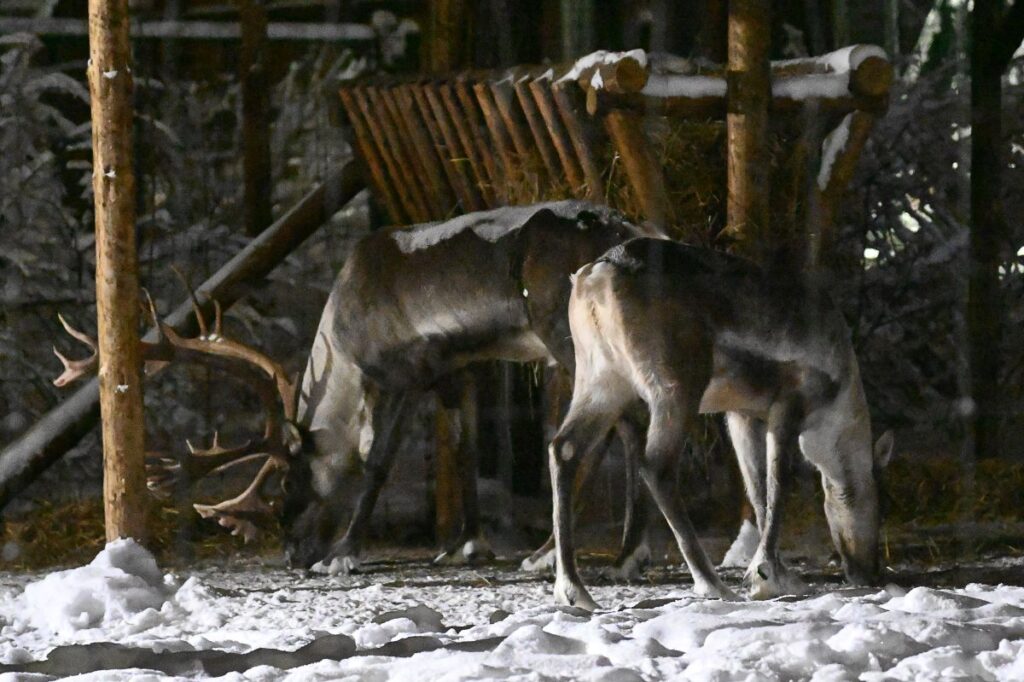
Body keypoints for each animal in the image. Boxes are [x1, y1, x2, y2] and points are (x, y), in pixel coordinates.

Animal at [53, 201, 659, 575]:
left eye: (286, 482)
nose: (293, 555)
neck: (342, 340)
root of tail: (627, 234)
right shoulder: (459, 370)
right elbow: (462, 452)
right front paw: (464, 545)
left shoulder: (403, 370)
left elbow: (376, 462)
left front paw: (343, 552)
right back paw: (606, 553)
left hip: (566, 336)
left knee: (616, 425)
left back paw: (585, 553)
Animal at [547, 237, 893, 610]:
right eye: (879, 502)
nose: (871, 572)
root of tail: (597, 274)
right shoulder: (788, 405)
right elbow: (779, 485)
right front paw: (767, 575)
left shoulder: (741, 413)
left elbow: (758, 488)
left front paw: (773, 572)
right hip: (676, 385)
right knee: (656, 464)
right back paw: (712, 583)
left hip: (601, 379)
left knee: (564, 448)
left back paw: (573, 589)